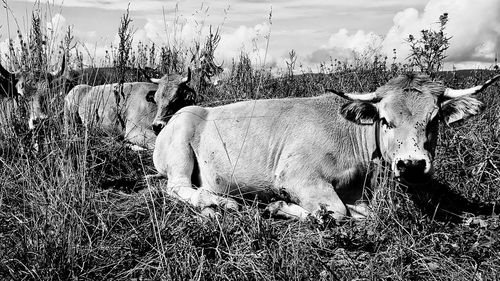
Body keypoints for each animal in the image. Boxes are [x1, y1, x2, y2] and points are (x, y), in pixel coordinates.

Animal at [152, 73, 500, 220]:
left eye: (433, 120)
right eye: (385, 120)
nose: (412, 165)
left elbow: (362, 213)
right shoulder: (296, 175)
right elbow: (336, 210)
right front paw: (279, 206)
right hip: (181, 151)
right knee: (179, 187)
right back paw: (221, 202)